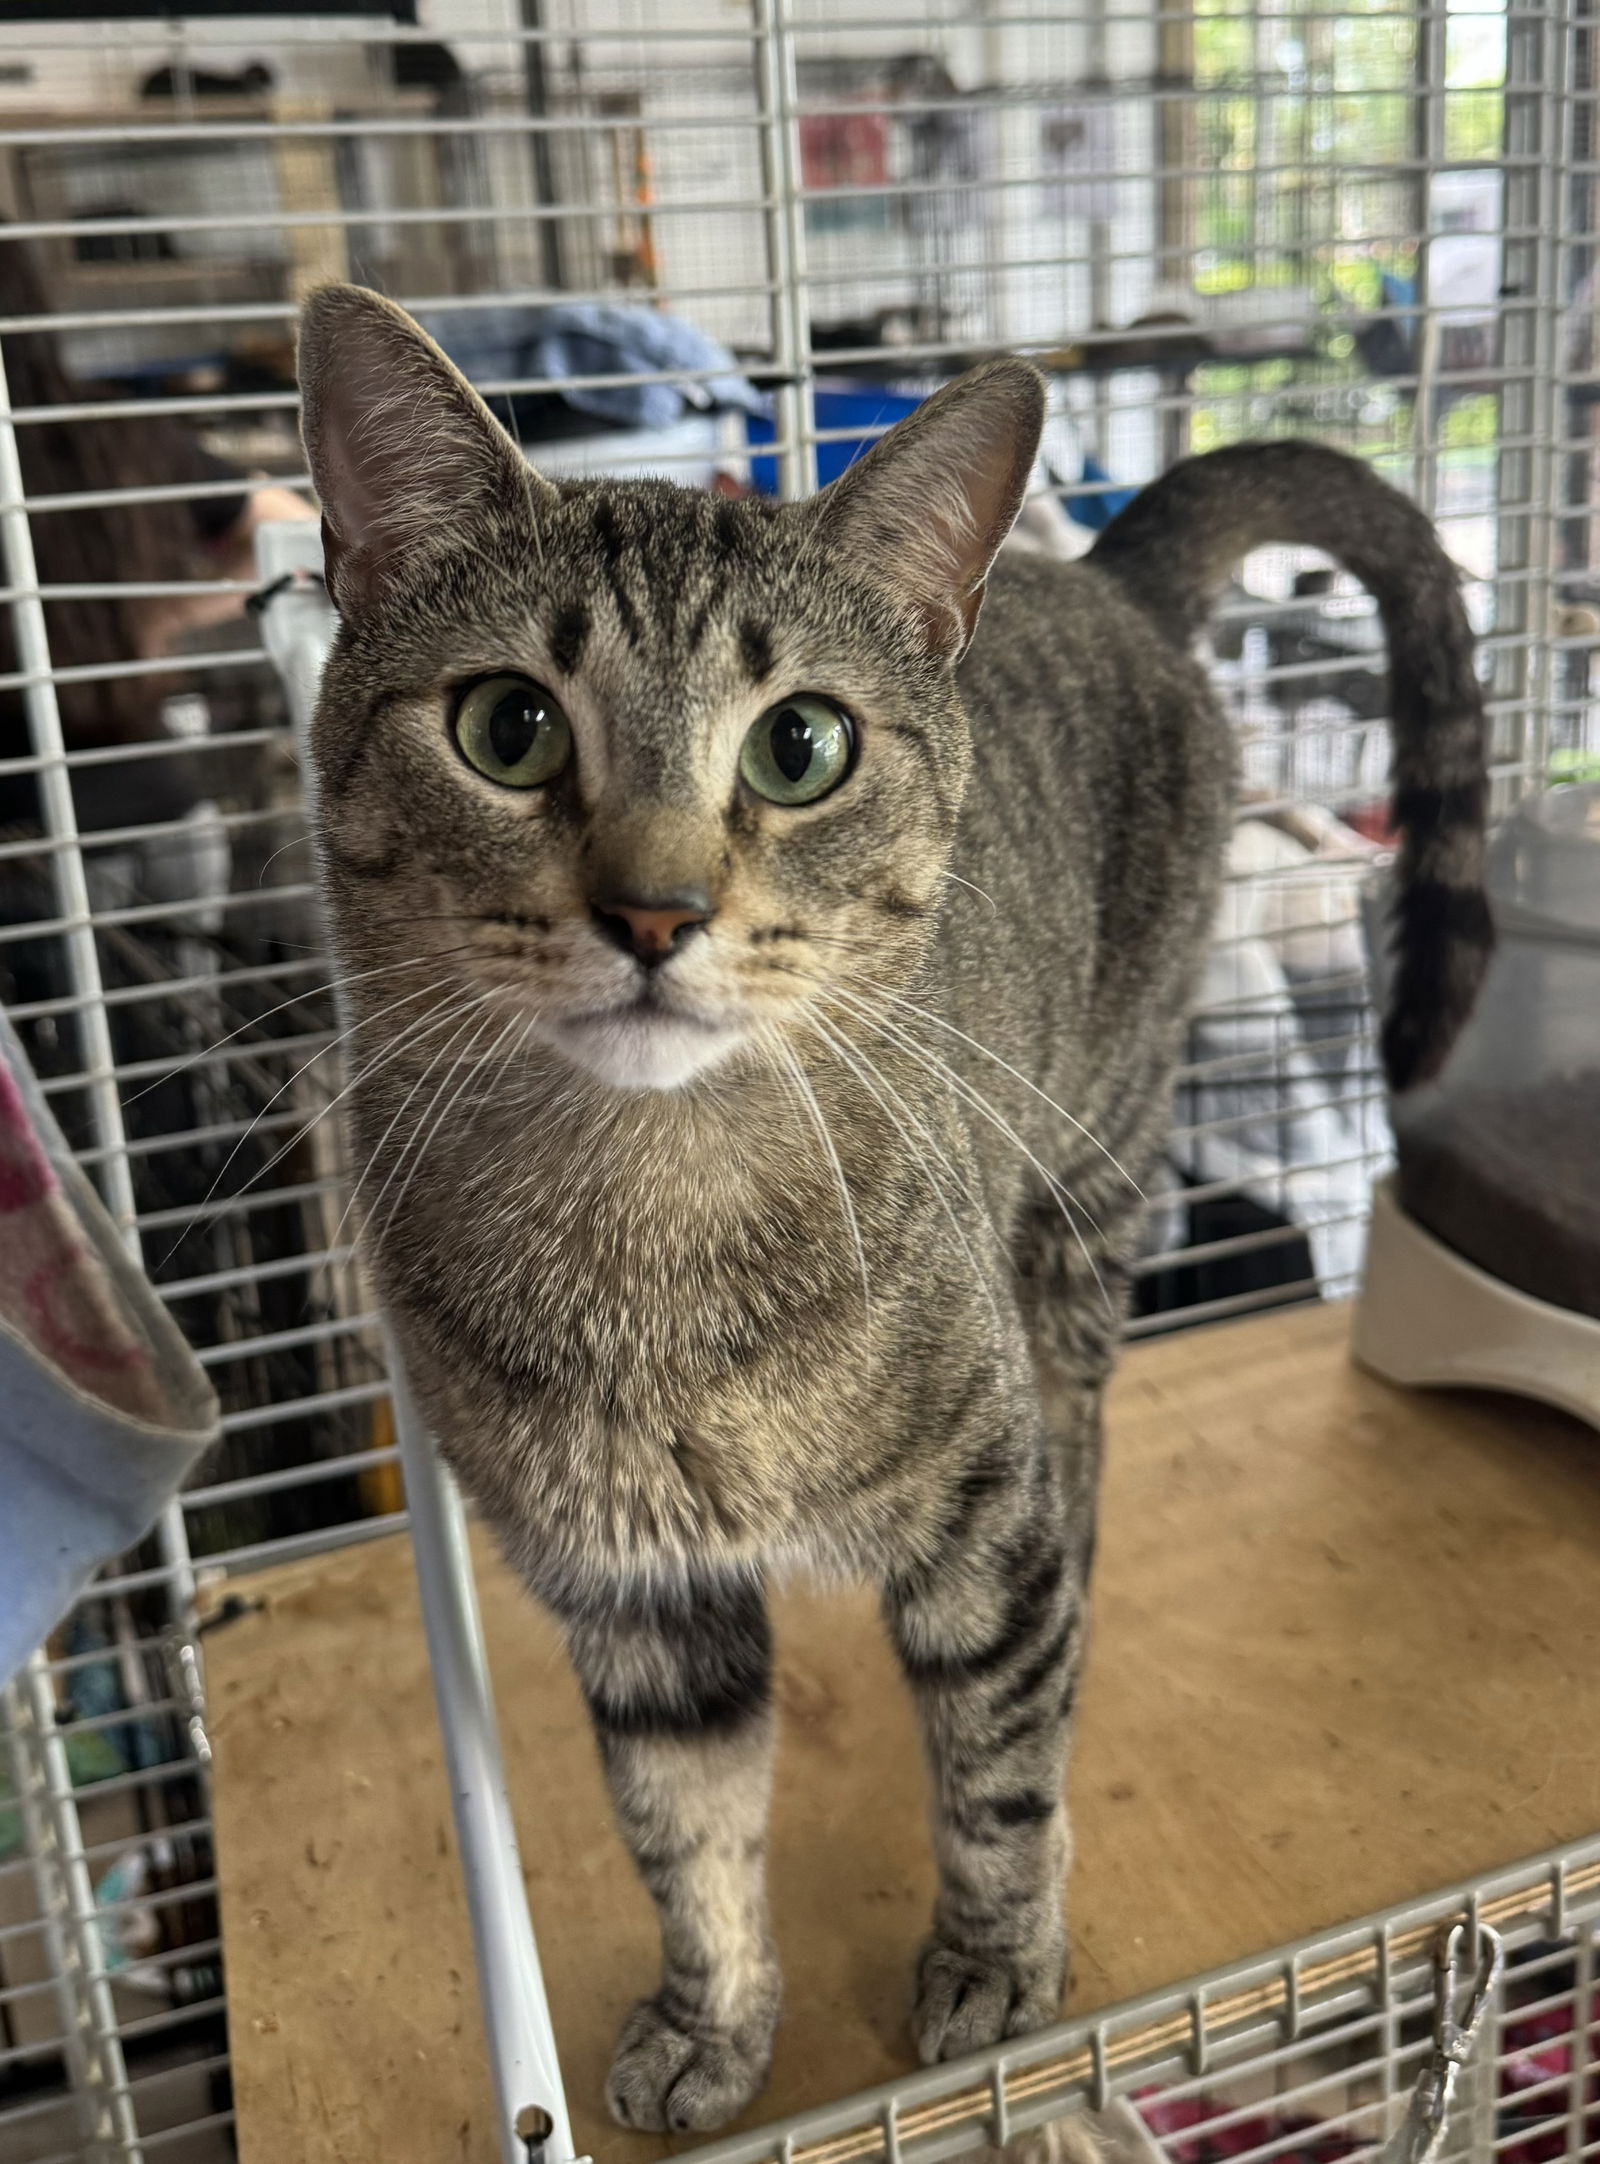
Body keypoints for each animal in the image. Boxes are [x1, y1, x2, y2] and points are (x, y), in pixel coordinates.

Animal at [294, 283, 1498, 2129]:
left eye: (802, 746)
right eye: (508, 726)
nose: (656, 910)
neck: (651, 1232)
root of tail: (1107, 570)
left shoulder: (978, 1520)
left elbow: (997, 1767)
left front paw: (997, 1960)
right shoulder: (634, 1601)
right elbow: (688, 1831)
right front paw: (713, 2016)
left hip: (1087, 1189)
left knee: (1081, 1429)